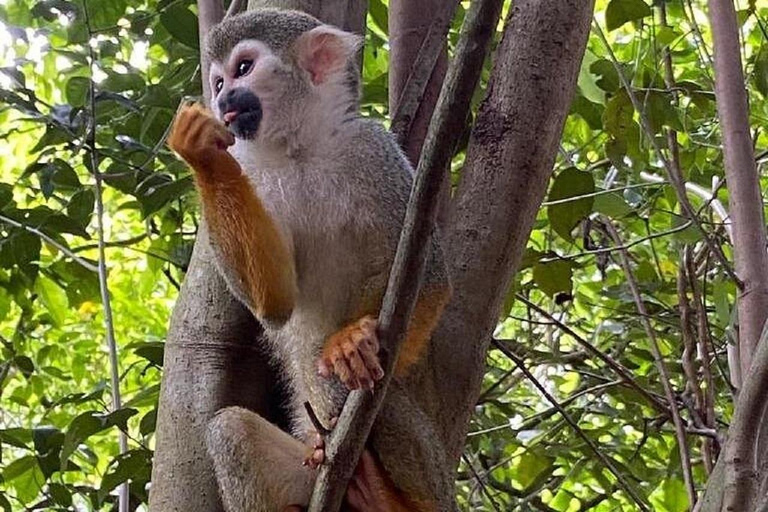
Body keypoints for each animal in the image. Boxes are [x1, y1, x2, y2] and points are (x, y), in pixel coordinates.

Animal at [167, 8, 453, 512]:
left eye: (243, 69)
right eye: (217, 82)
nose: (222, 98)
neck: (297, 150)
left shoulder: (371, 147)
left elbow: (432, 276)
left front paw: (352, 344)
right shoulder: (254, 173)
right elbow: (275, 301)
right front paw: (200, 151)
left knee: (371, 400)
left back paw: (385, 495)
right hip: (305, 467)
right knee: (230, 432)